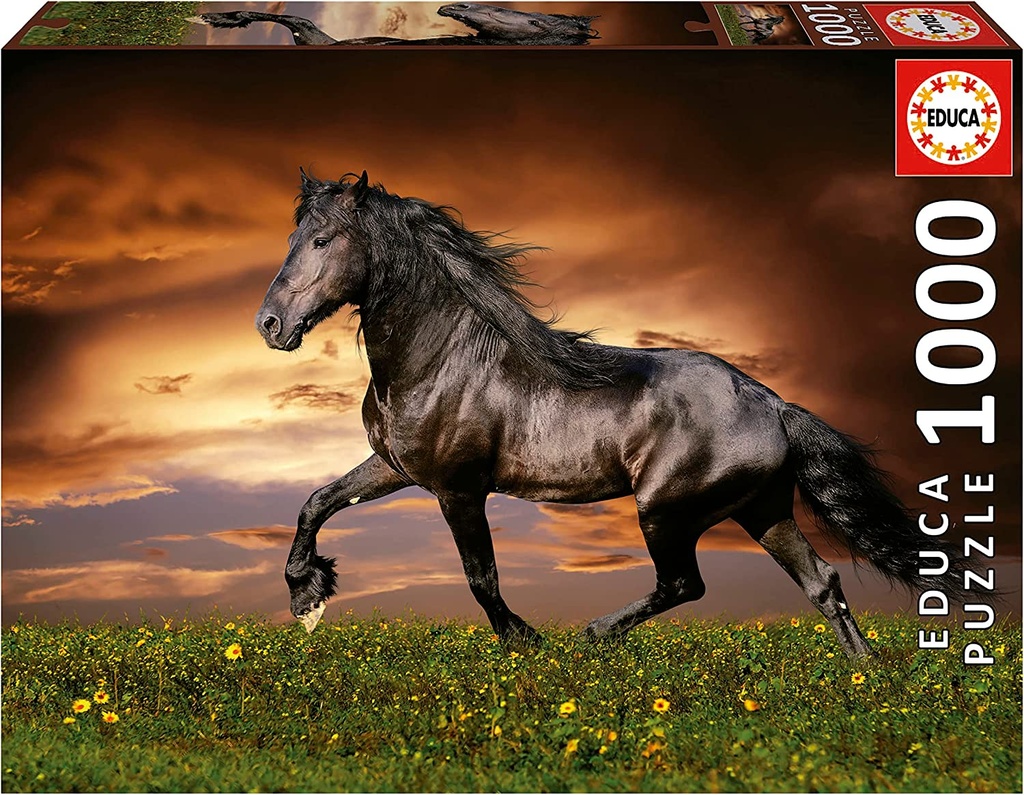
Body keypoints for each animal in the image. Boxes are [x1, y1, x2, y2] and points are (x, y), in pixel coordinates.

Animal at [255, 171, 970, 657]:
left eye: (322, 239)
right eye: (292, 236)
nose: (270, 325)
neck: (440, 360)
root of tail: (773, 404)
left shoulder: (459, 489)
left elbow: (481, 577)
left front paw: (526, 641)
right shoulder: (395, 467)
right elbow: (315, 503)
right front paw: (307, 594)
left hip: (665, 510)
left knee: (685, 585)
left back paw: (593, 634)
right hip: (761, 509)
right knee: (821, 582)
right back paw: (867, 678)